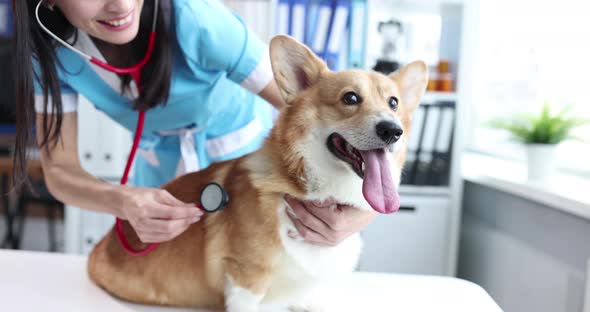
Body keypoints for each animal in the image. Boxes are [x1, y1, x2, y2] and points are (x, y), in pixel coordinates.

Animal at [88, 35, 428, 310]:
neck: (311, 190)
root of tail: (101, 247)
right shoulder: (245, 280)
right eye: (351, 98)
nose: (392, 131)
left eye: (394, 103)